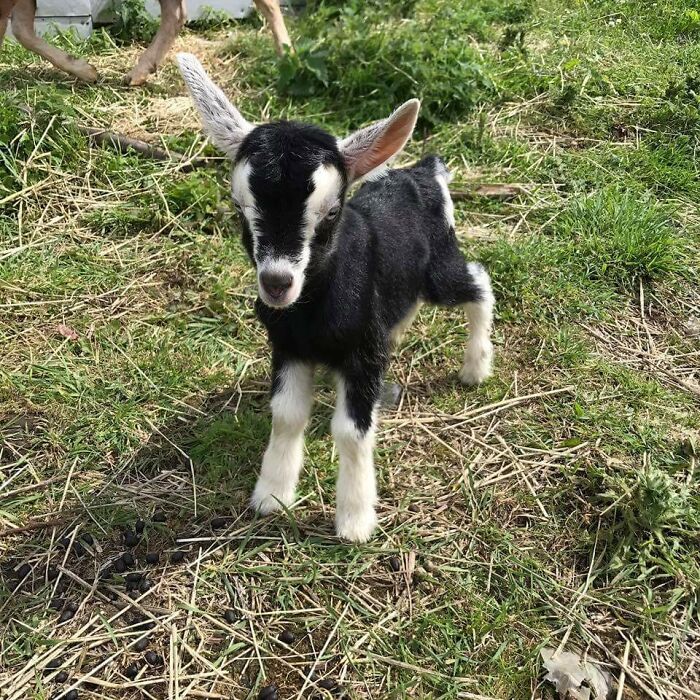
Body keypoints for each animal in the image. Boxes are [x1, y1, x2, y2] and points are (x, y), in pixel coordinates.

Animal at [178, 53, 494, 540]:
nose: (277, 283)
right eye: (240, 208)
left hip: (440, 268)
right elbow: (287, 414)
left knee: (478, 282)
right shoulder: (287, 346)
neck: (311, 315)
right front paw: (272, 495)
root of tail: (425, 172)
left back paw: (476, 367)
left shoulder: (361, 351)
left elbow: (350, 431)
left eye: (330, 212)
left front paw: (355, 521)